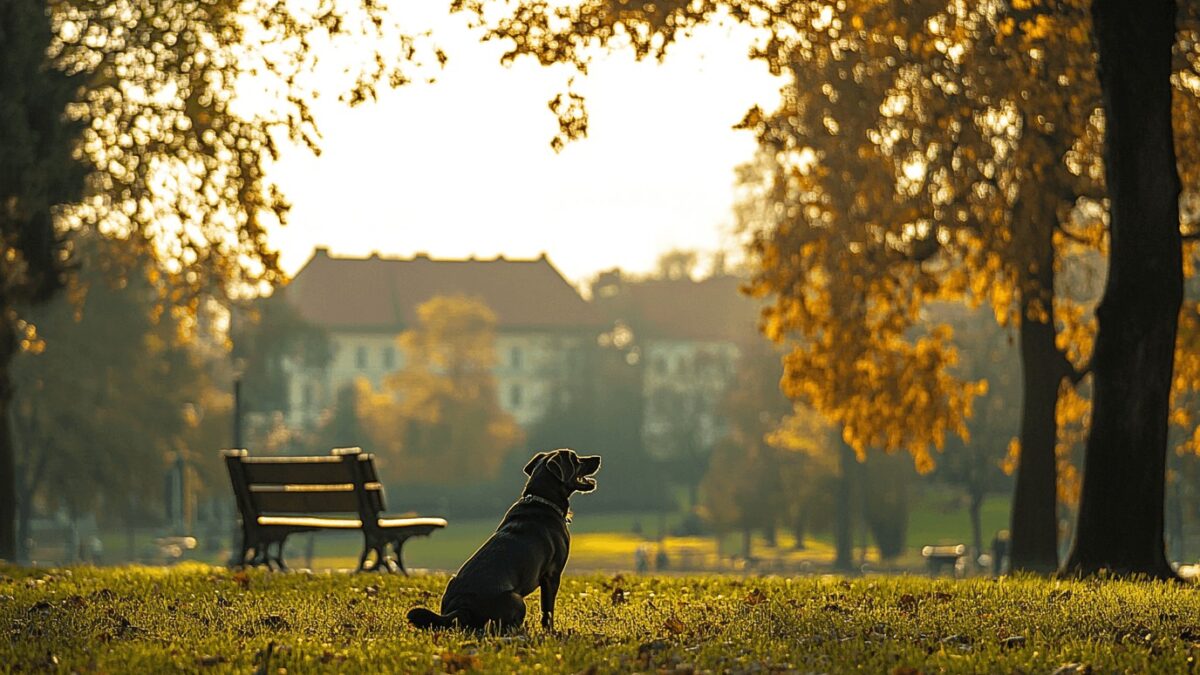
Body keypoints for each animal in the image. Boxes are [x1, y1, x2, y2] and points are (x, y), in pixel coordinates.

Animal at [408, 446, 600, 629]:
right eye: (575, 459)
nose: (597, 458)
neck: (543, 500)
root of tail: (462, 608)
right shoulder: (551, 575)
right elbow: (548, 610)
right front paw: (550, 632)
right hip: (516, 599)